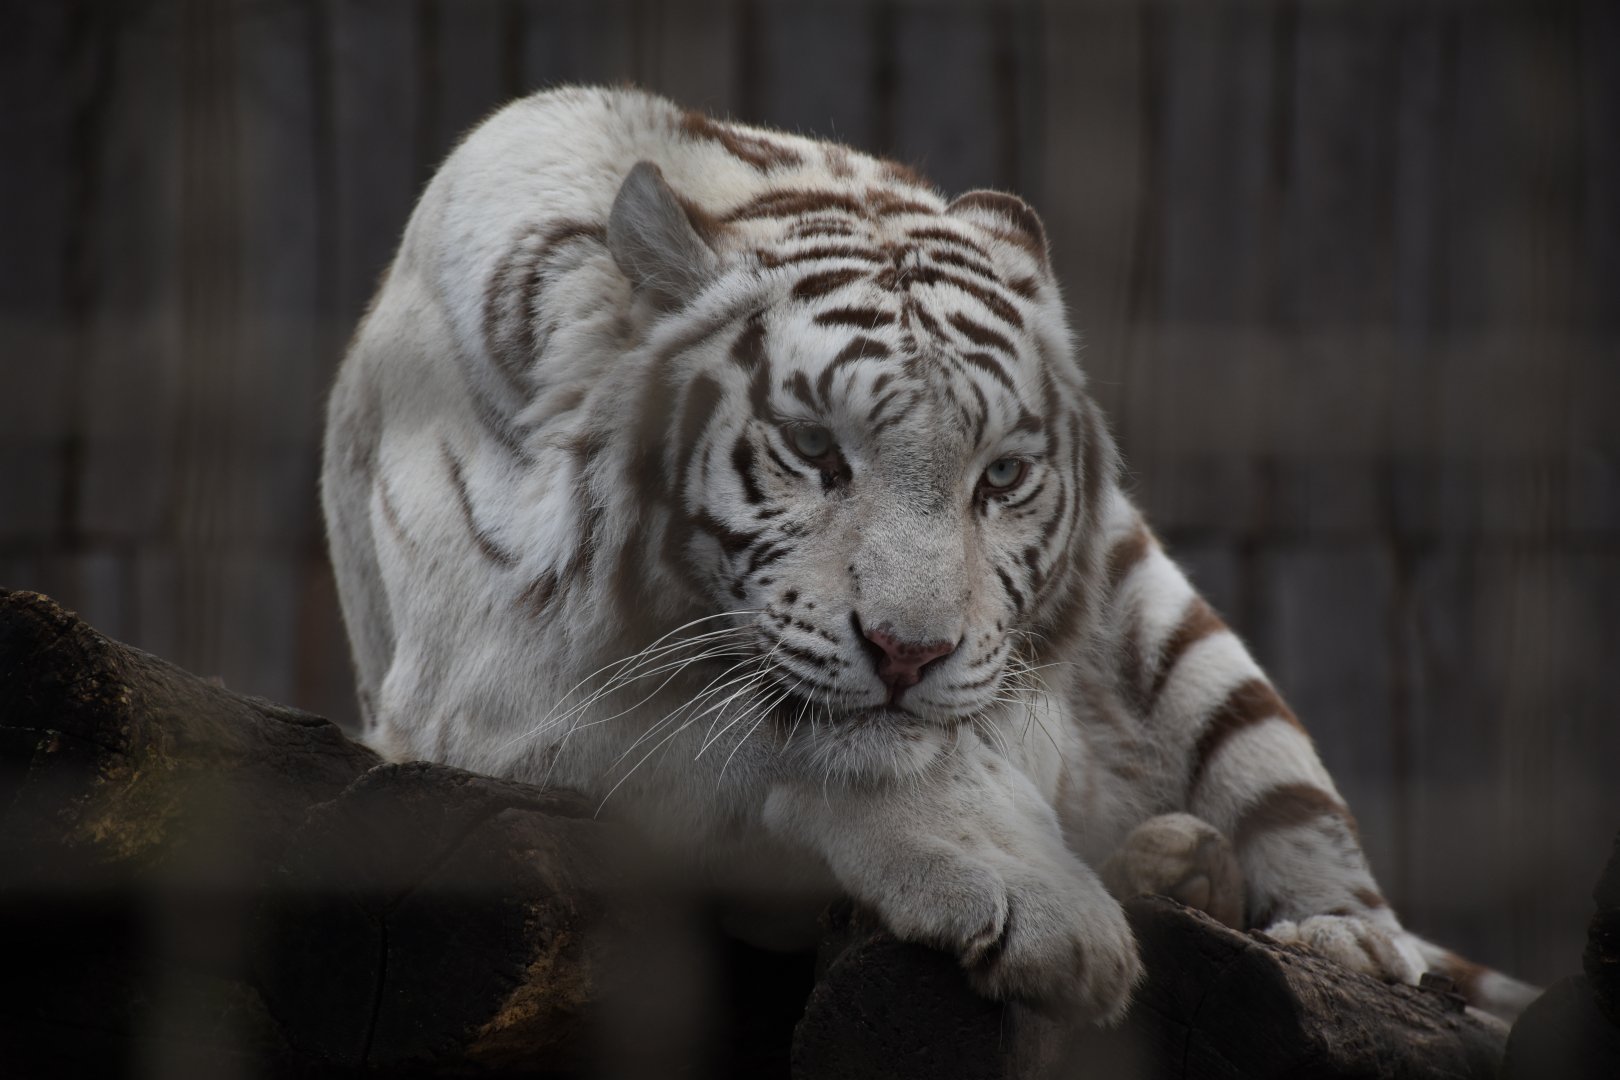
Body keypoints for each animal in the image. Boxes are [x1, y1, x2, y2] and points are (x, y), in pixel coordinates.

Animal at [321, 85, 1537, 1025]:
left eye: (1000, 474)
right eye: (813, 448)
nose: (910, 651)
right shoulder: (488, 677)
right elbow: (790, 743)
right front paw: (1051, 913)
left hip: (1178, 629)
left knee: (1308, 830)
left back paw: (1333, 935)